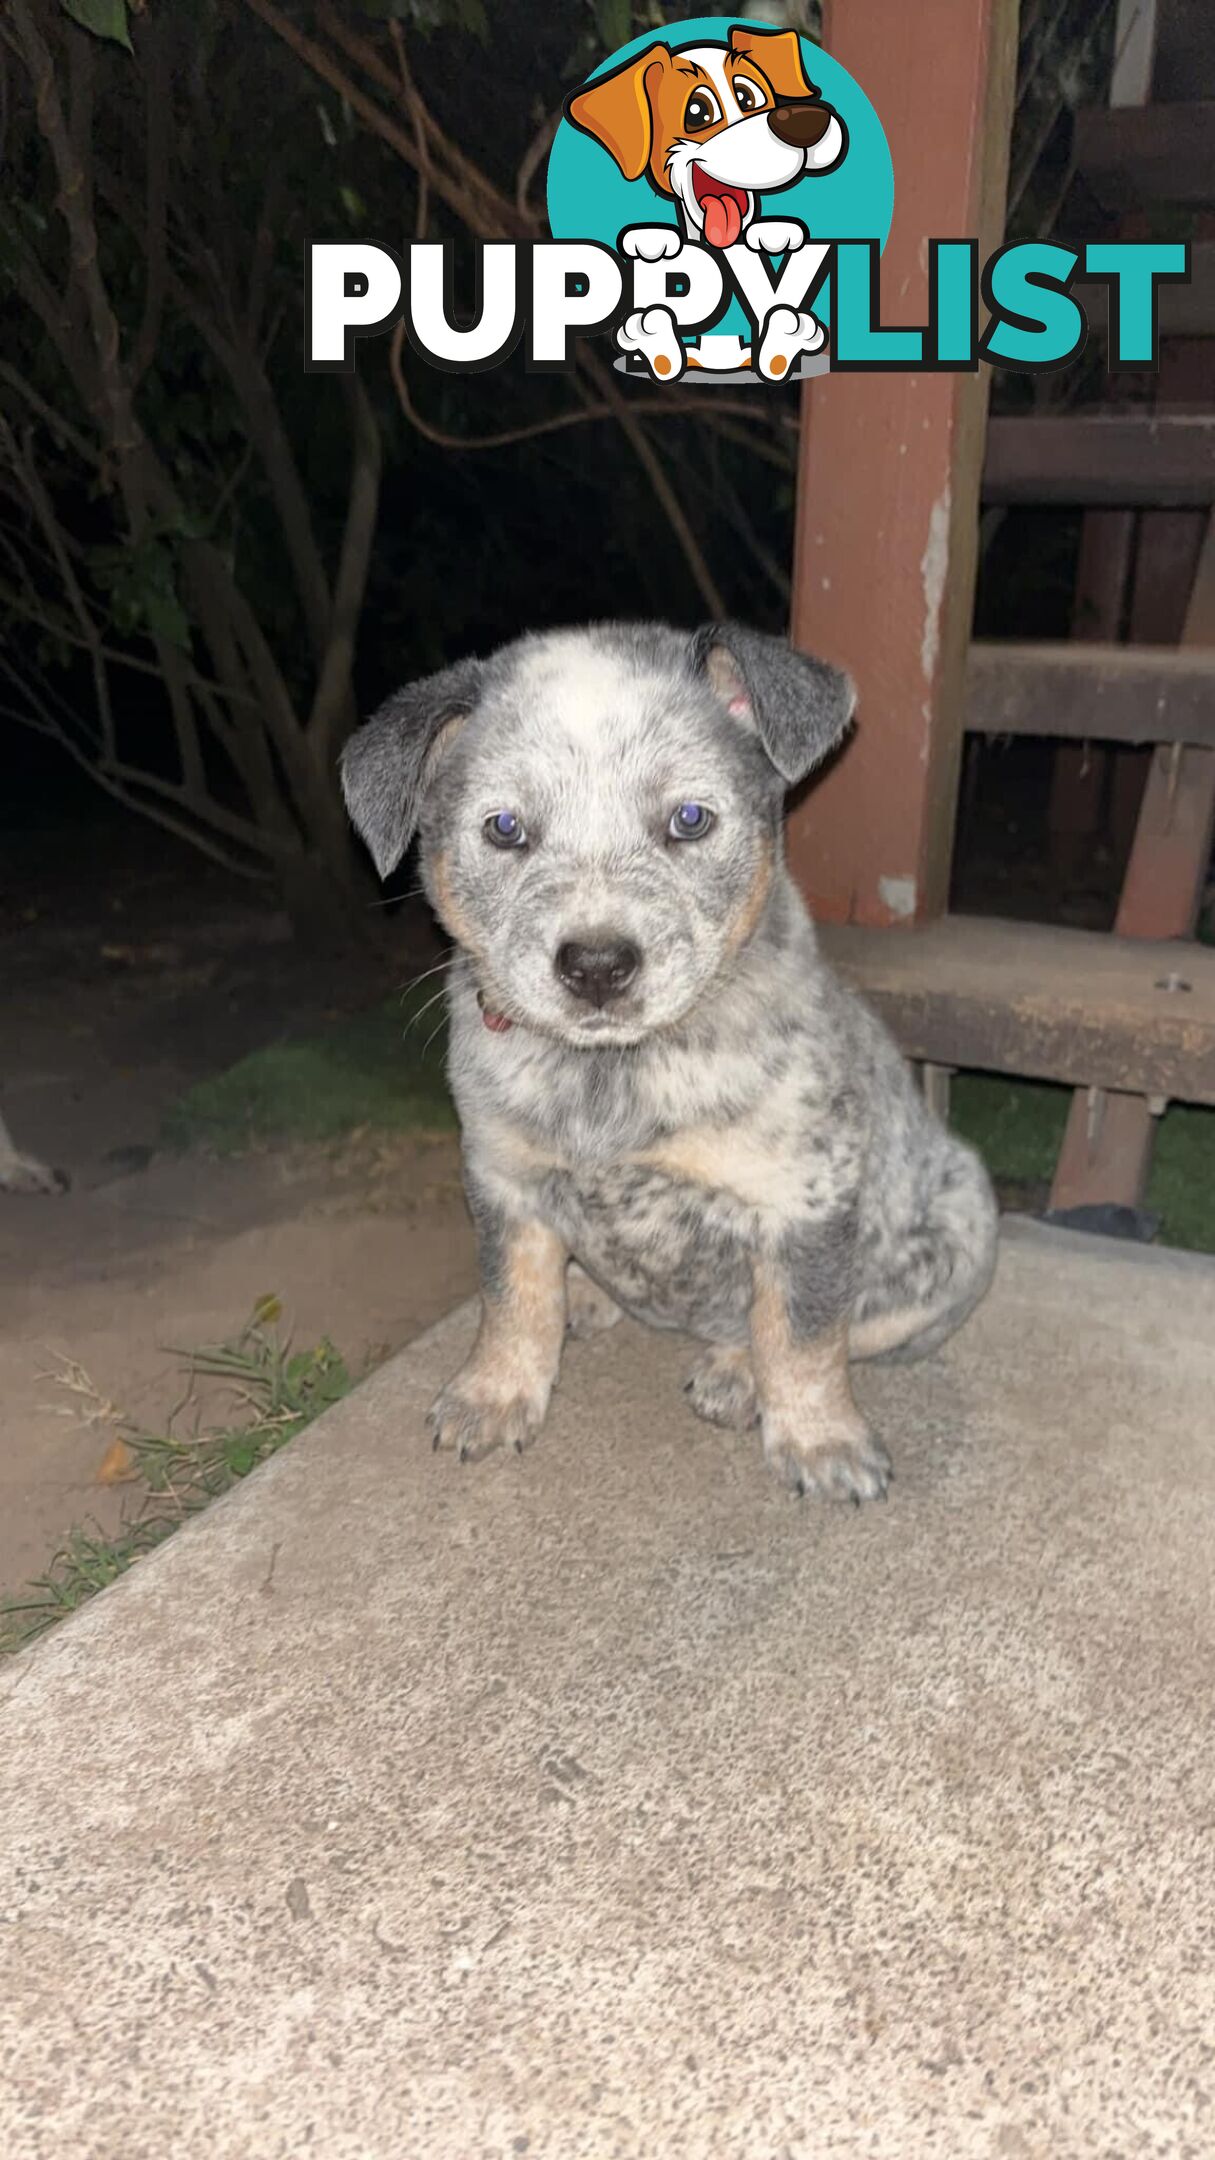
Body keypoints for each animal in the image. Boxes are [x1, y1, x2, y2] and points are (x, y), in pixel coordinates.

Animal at [341, 626, 994, 1503]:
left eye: (689, 819)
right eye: (504, 828)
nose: (596, 964)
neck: (611, 1079)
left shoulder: (805, 1198)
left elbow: (803, 1330)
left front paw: (819, 1438)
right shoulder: (502, 1176)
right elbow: (509, 1296)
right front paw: (495, 1392)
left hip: (962, 1222)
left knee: (844, 1326)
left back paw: (736, 1372)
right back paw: (585, 1294)